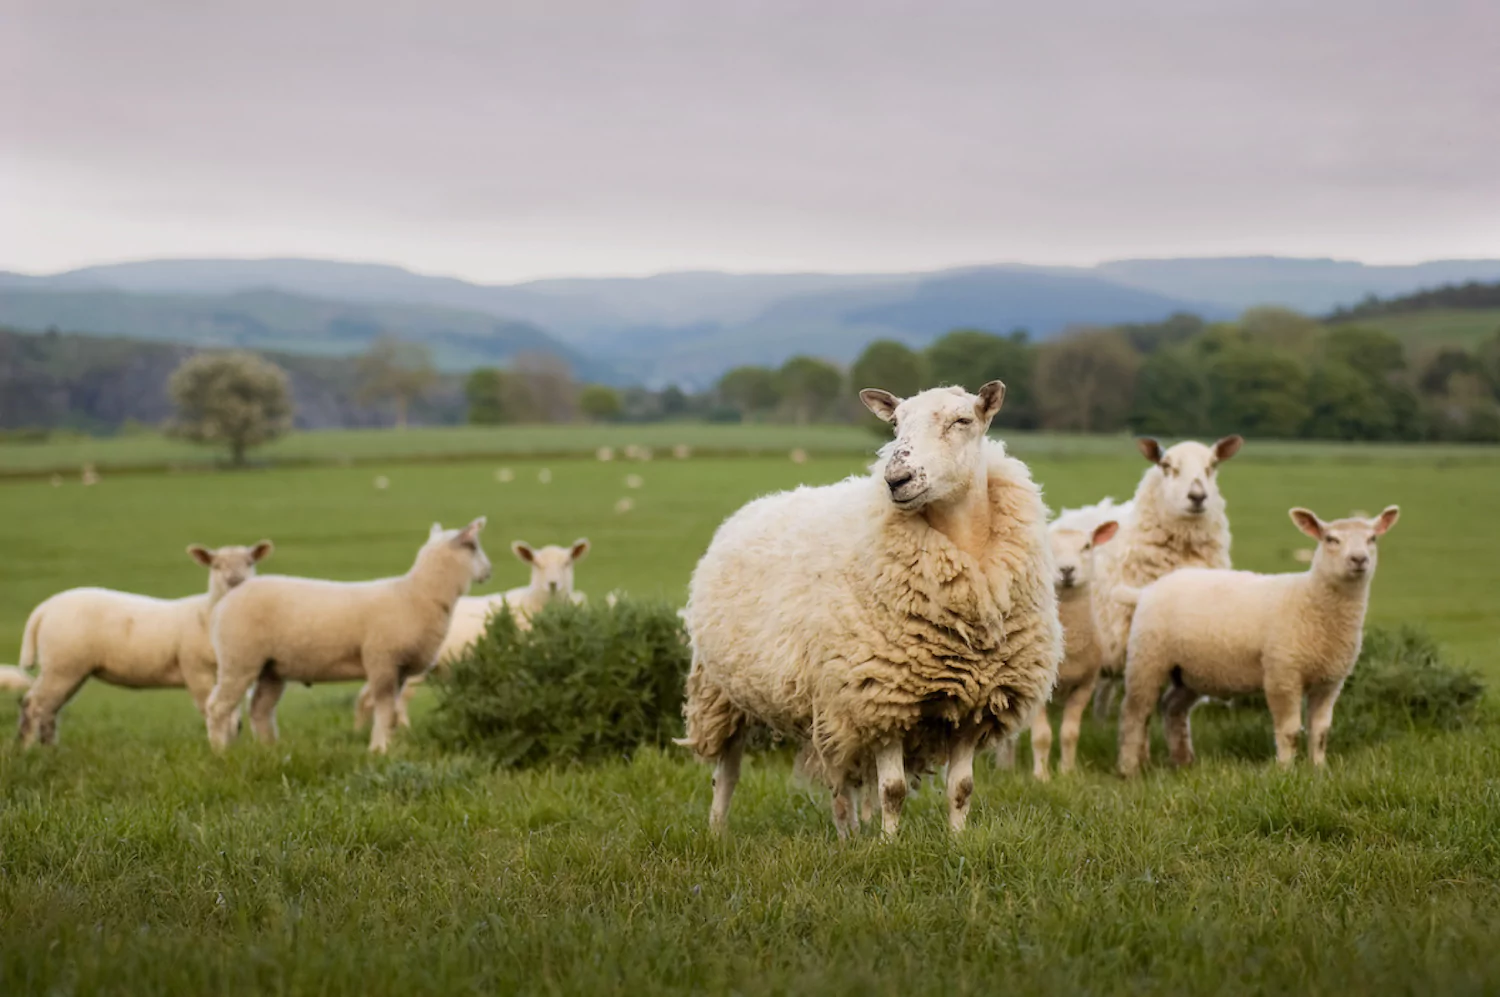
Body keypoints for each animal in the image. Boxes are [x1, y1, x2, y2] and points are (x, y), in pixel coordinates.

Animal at [14, 541, 273, 747]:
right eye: (216, 566)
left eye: (249, 562)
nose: (235, 581)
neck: (207, 612)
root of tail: (44, 608)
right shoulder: (196, 671)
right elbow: (214, 712)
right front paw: (220, 750)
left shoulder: (232, 673)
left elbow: (234, 719)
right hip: (62, 665)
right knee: (33, 705)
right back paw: (26, 750)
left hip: (68, 669)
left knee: (49, 709)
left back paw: (49, 750)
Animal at [206, 518, 490, 754]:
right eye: (474, 546)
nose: (489, 571)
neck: (418, 594)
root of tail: (226, 601)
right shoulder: (382, 661)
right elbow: (384, 709)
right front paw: (379, 749)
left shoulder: (398, 670)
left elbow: (392, 712)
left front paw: (389, 746)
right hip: (239, 659)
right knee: (218, 707)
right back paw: (221, 752)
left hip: (271, 667)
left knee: (260, 710)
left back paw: (270, 750)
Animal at [351, 536, 590, 730]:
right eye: (537, 564)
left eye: (567, 563)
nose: (553, 584)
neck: (533, 603)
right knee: (394, 701)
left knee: (367, 699)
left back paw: (360, 732)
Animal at [679, 382, 1061, 838]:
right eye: (895, 424)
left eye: (962, 420)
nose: (896, 480)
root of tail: (753, 505)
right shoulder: (882, 696)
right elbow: (892, 790)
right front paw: (889, 844)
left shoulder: (975, 703)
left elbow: (961, 788)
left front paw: (957, 840)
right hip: (723, 689)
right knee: (728, 772)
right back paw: (719, 831)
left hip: (831, 704)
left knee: (844, 782)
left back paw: (850, 833)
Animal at [1116, 505, 1400, 777]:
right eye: (1331, 539)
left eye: (1372, 538)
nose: (1359, 559)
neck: (1310, 598)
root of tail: (1146, 590)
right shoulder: (1281, 674)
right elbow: (1289, 730)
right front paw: (1285, 770)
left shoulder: (1330, 682)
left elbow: (1320, 732)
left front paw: (1320, 770)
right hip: (1147, 656)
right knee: (1135, 712)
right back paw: (1130, 769)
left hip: (1189, 671)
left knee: (1172, 707)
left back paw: (1182, 762)